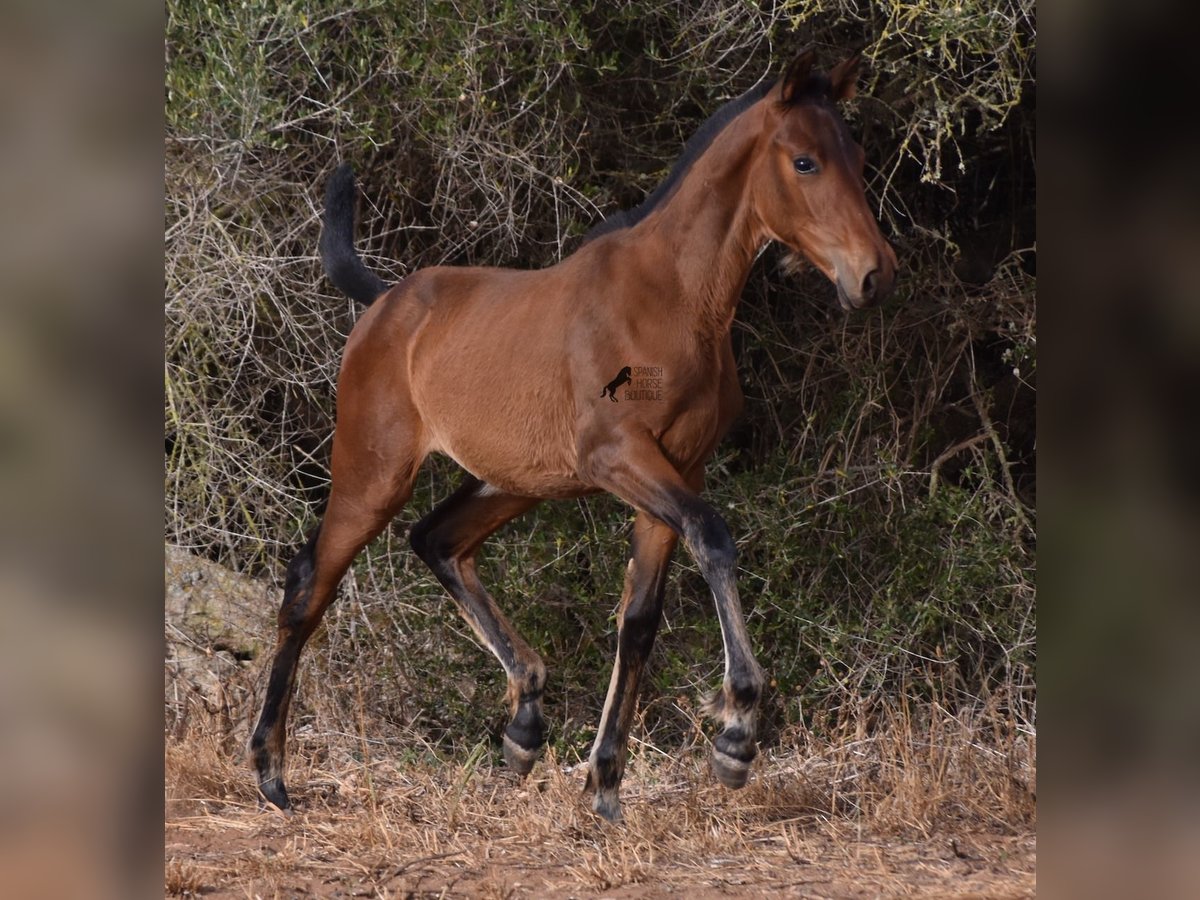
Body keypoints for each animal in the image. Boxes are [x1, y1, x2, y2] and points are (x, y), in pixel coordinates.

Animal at [250, 49, 892, 825]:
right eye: (804, 161)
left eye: (858, 158)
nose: (874, 274)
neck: (676, 300)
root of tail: (382, 304)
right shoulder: (623, 459)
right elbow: (714, 539)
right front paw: (736, 734)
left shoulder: (676, 472)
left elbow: (639, 618)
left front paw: (606, 783)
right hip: (372, 475)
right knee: (309, 585)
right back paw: (271, 773)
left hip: (510, 483)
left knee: (436, 540)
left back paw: (524, 726)